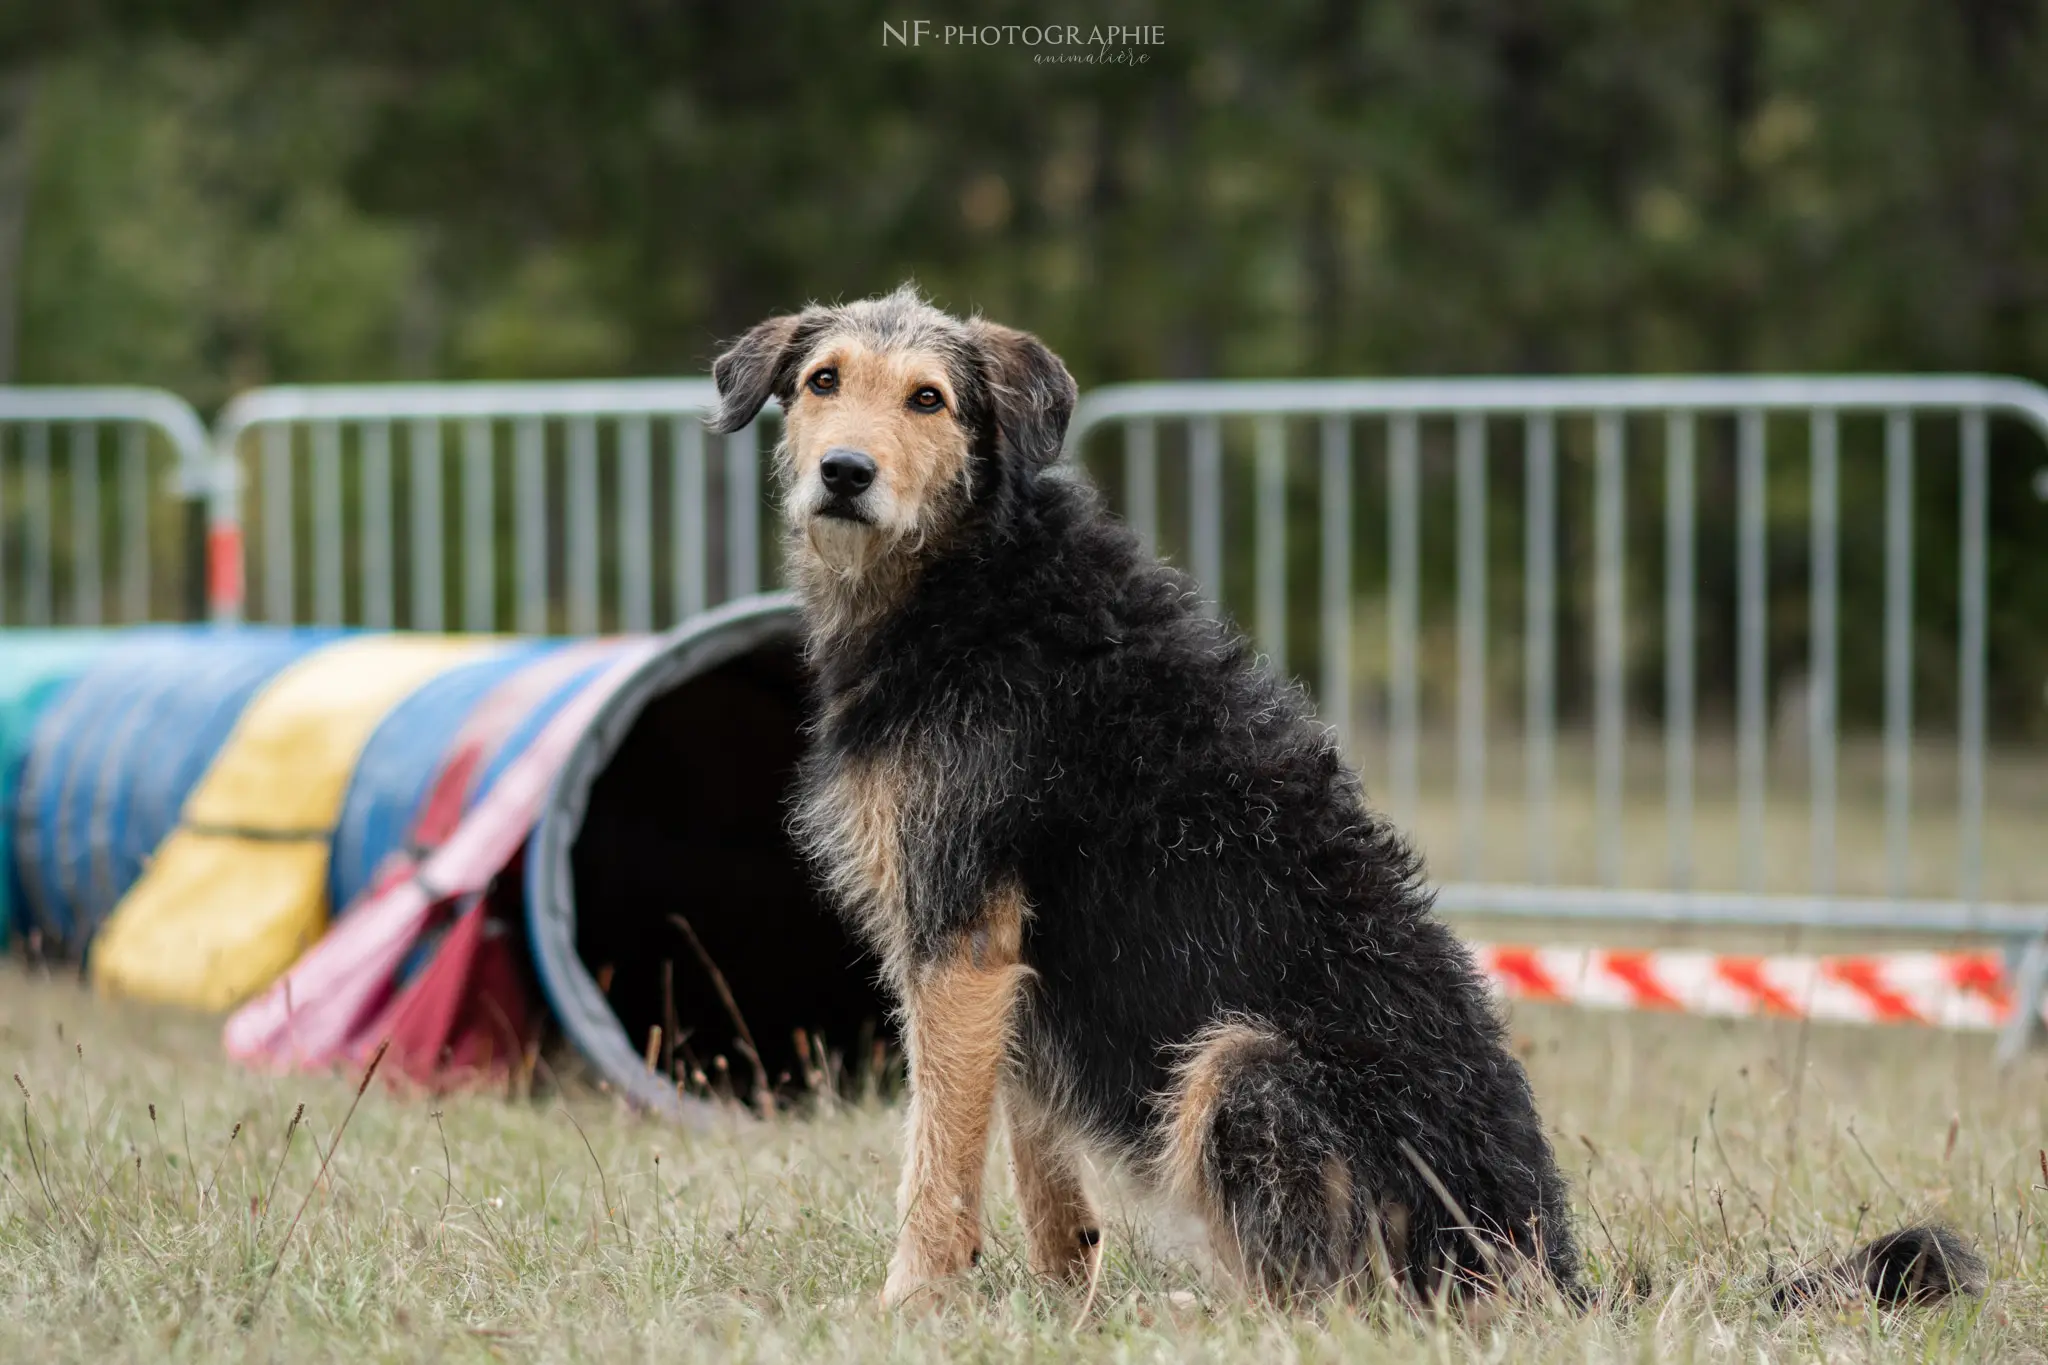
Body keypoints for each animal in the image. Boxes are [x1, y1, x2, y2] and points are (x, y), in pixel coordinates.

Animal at [716, 286, 1982, 1309]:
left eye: (928, 400)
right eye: (822, 383)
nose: (844, 474)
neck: (975, 575)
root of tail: (1545, 1263)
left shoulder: (960, 934)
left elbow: (937, 1156)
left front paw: (910, 1303)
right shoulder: (999, 955)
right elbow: (1030, 1154)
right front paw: (1058, 1300)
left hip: (1241, 1065)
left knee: (1335, 1302)